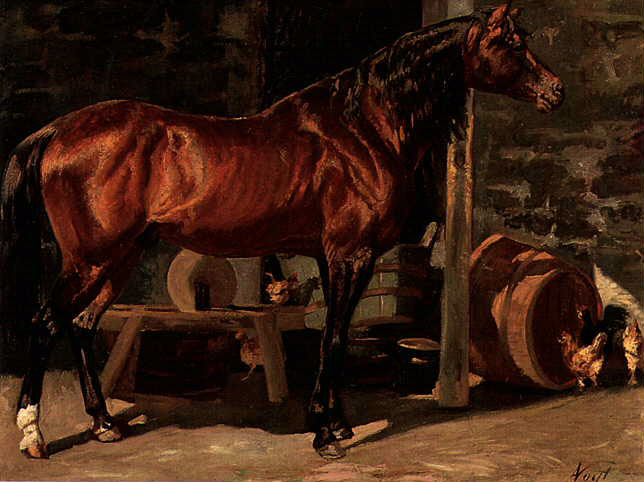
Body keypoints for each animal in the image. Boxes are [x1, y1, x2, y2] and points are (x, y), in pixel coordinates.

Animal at [0, 3, 563, 460]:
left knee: (80, 325)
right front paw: (327, 433)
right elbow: (333, 336)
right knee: (46, 323)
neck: (364, 129)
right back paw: (34, 436)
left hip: (119, 258)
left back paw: (103, 425)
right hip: (91, 258)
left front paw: (334, 423)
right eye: (512, 43)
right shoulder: (350, 256)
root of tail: (56, 131)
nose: (555, 91)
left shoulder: (330, 258)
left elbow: (335, 333)